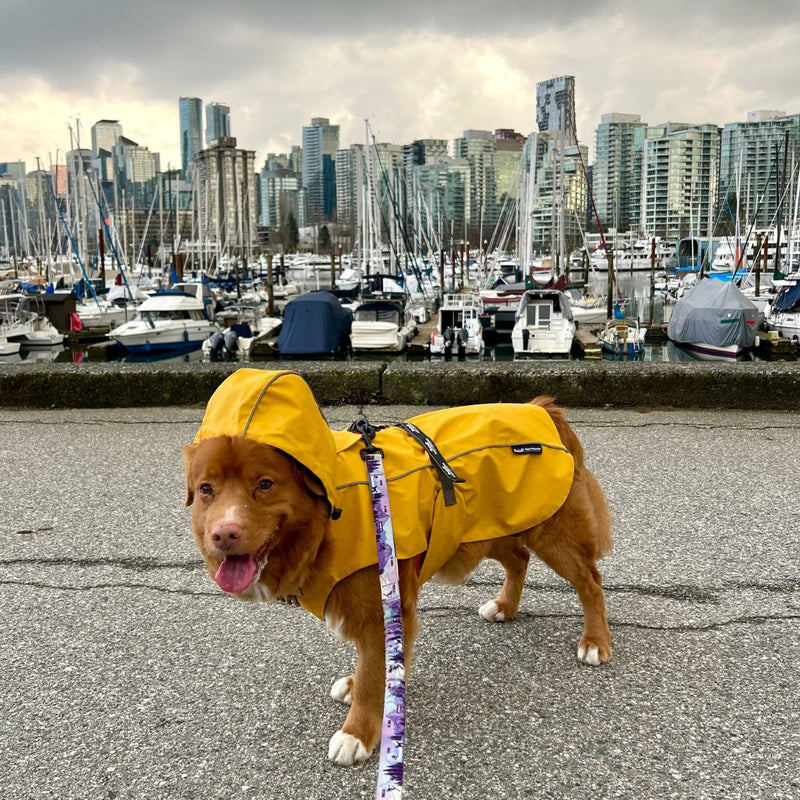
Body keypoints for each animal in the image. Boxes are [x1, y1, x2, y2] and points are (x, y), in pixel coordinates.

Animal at [186, 370, 612, 768]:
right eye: (207, 489)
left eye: (264, 484)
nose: (223, 534)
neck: (330, 515)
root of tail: (541, 408)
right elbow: (374, 668)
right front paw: (361, 689)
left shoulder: (382, 612)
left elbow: (374, 676)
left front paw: (357, 733)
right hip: (487, 527)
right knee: (519, 558)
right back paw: (505, 606)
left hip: (552, 535)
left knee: (591, 582)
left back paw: (595, 641)